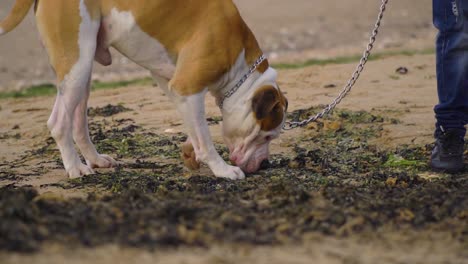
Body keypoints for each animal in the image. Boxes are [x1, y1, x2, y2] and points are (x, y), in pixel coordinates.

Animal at [0, 0, 288, 179]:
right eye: (266, 136)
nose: (265, 164)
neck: (241, 67)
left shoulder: (173, 86)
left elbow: (195, 129)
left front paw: (191, 150)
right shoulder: (187, 87)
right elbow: (205, 139)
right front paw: (222, 170)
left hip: (83, 70)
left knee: (78, 122)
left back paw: (95, 160)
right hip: (77, 62)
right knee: (59, 122)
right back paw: (75, 168)